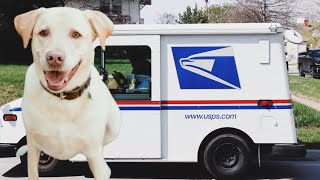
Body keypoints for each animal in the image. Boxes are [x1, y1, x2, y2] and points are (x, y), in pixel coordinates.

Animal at [14, 7, 121, 180]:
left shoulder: (94, 152)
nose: (54, 58)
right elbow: (32, 170)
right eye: (43, 32)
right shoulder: (33, 146)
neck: (62, 100)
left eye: (76, 34)